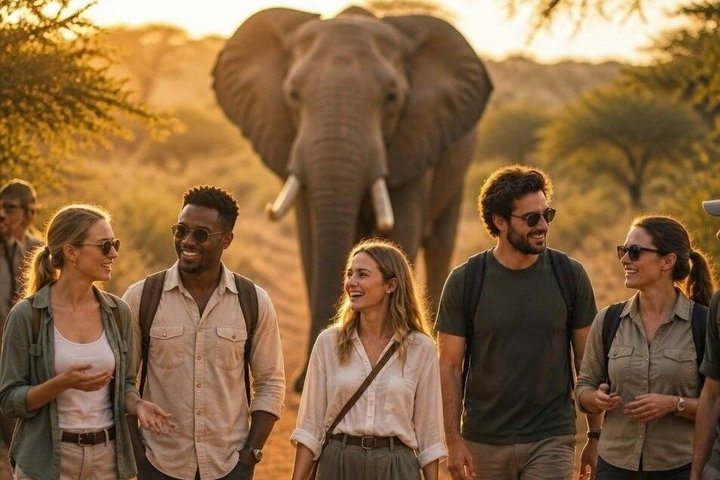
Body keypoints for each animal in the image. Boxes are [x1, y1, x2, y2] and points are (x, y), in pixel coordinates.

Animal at [212, 6, 492, 391]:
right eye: (293, 94)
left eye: (391, 98)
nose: (301, 382)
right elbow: (311, 242)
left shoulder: (414, 140)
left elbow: (400, 232)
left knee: (439, 243)